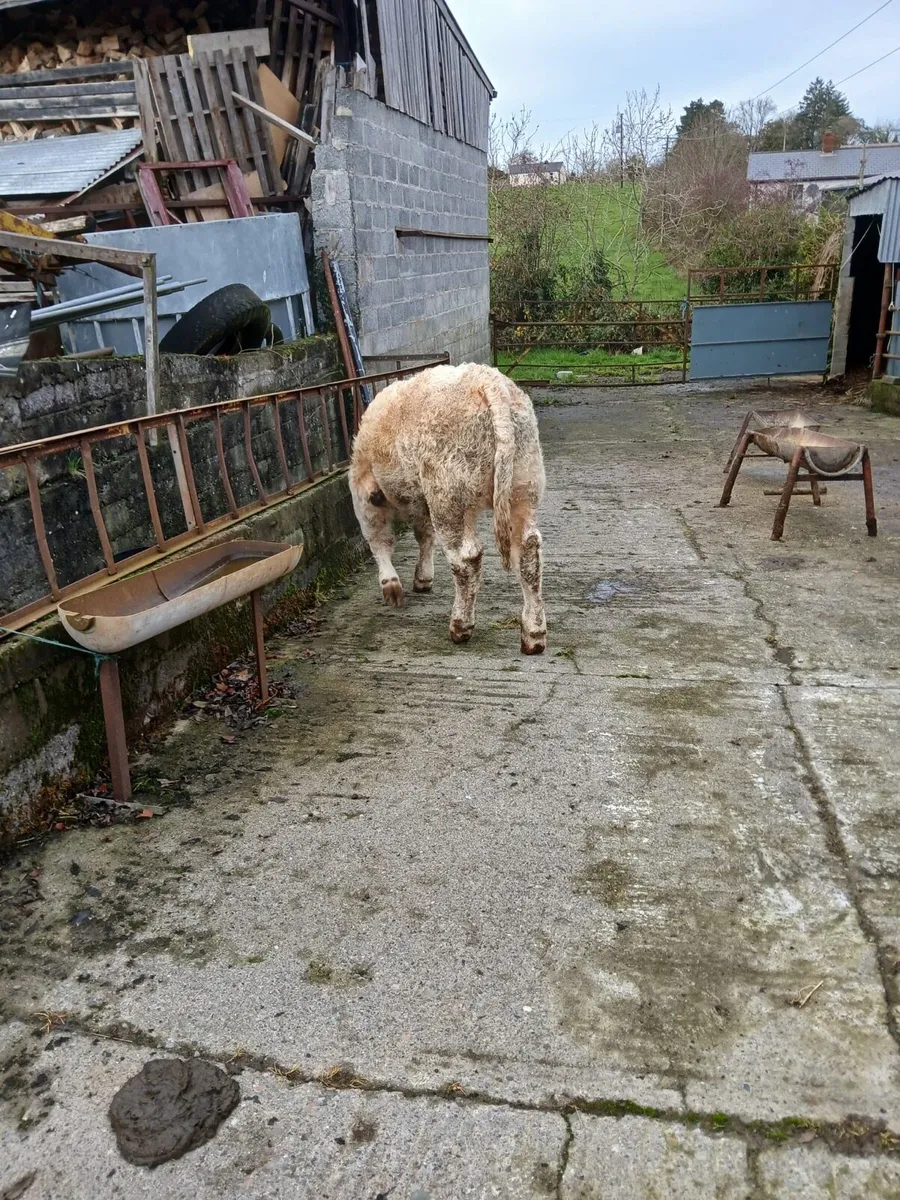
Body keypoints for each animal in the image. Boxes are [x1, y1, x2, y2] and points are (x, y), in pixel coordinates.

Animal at [349, 363, 547, 654]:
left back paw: (460, 626)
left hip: (448, 496)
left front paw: (391, 585)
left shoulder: (364, 491)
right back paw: (533, 636)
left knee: (467, 559)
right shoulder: (420, 499)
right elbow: (424, 534)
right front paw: (423, 577)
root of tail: (486, 379)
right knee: (528, 552)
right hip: (523, 487)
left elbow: (379, 538)